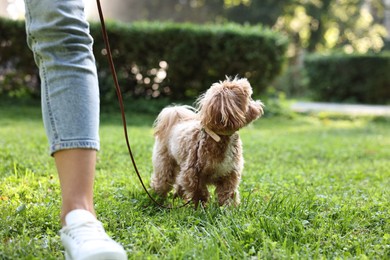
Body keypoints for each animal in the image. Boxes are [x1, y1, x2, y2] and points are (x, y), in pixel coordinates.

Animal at [151, 76, 264, 207]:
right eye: (249, 98)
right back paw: (158, 197)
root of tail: (175, 116)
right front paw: (201, 207)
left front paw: (229, 208)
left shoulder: (229, 173)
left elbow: (228, 193)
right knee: (163, 180)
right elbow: (200, 192)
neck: (220, 136)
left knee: (179, 184)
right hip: (165, 163)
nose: (259, 105)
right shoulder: (192, 174)